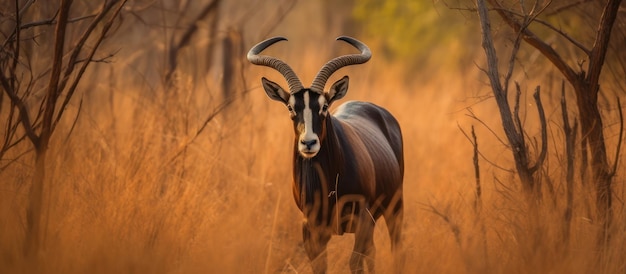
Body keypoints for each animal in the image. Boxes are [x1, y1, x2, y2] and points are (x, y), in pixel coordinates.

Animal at [246, 37, 402, 274]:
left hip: (395, 208)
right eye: (290, 107)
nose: (308, 143)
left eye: (325, 105)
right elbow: (320, 266)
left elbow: (355, 263)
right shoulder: (311, 228)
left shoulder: (362, 220)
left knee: (397, 249)